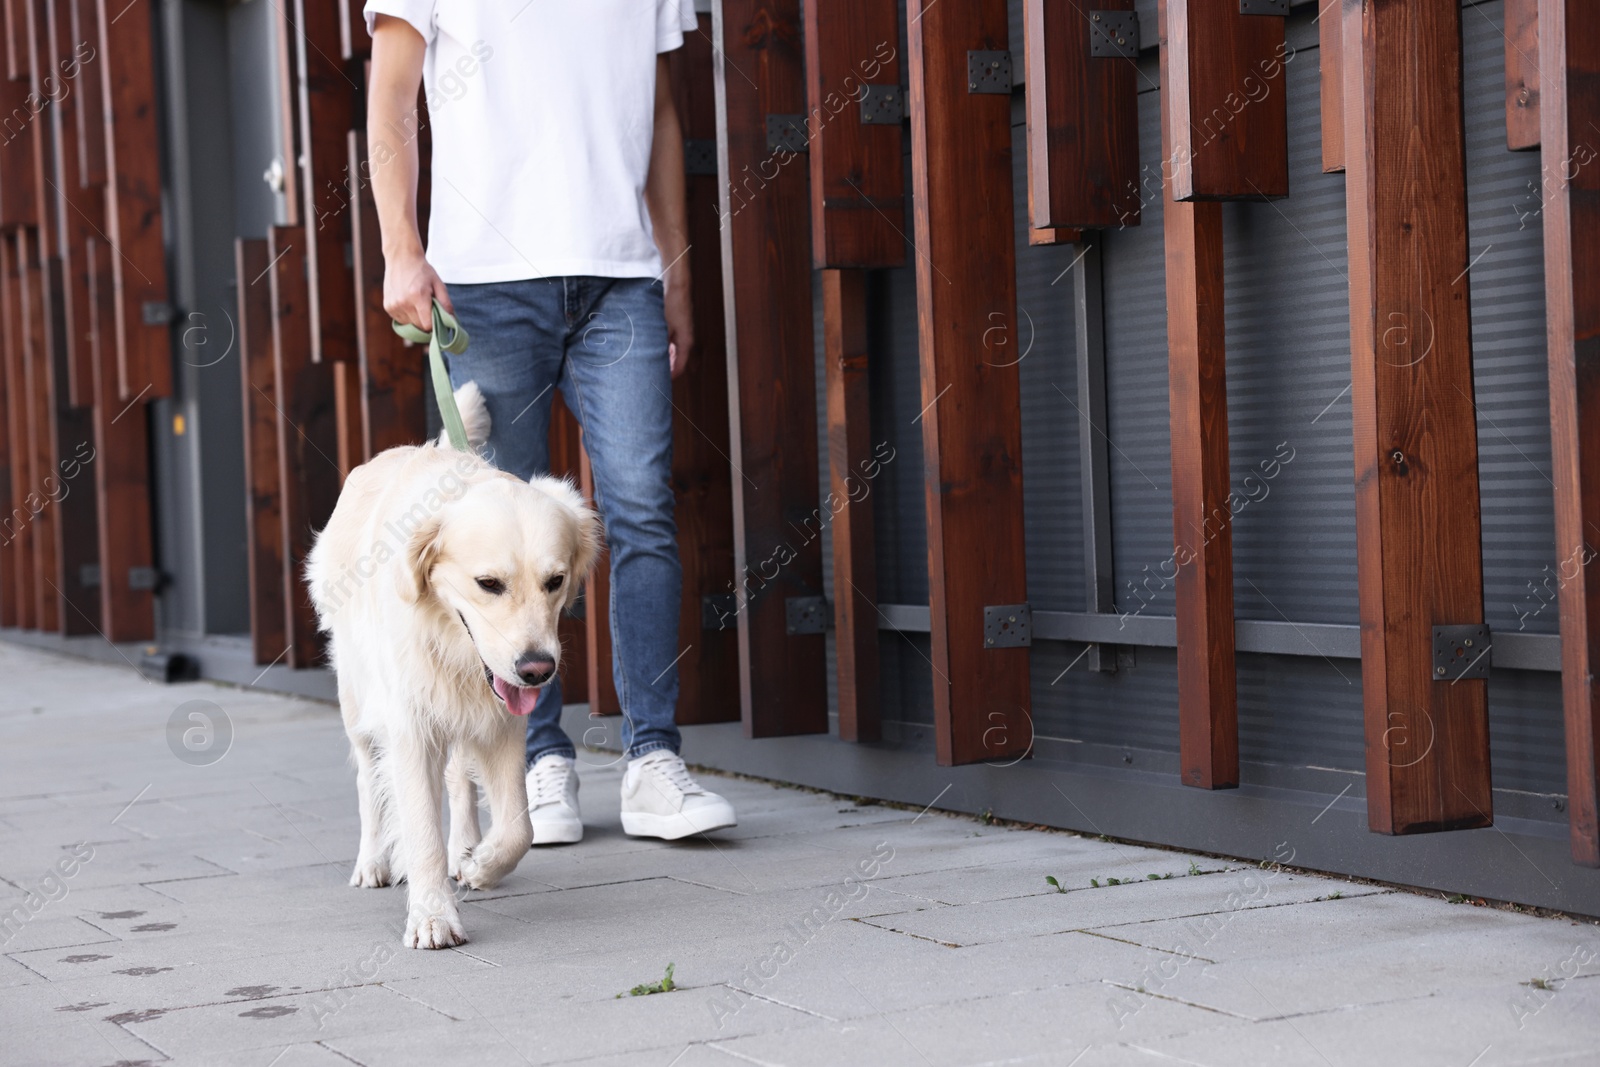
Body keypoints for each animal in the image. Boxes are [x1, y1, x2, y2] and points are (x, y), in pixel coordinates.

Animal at [304, 385, 601, 953]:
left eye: (555, 581)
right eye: (488, 584)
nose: (537, 670)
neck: (452, 642)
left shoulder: (503, 721)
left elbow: (519, 828)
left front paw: (482, 864)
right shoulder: (410, 724)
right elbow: (420, 828)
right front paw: (432, 917)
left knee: (461, 782)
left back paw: (465, 849)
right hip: (356, 697)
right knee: (368, 780)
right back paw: (373, 861)